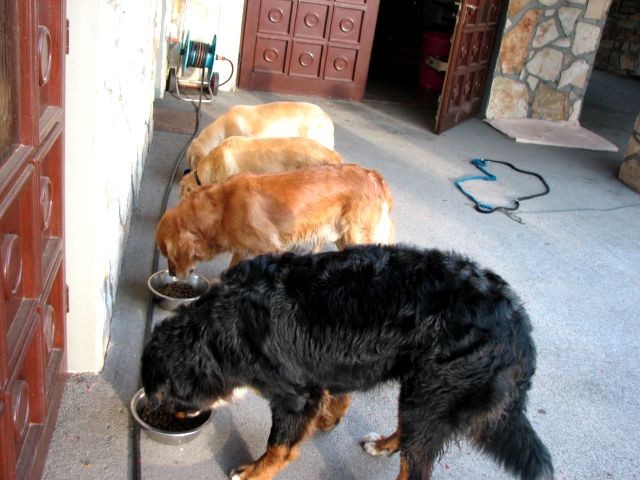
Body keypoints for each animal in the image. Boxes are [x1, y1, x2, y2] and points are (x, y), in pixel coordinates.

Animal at [142, 246, 552, 478]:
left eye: (165, 397)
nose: (170, 415)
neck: (221, 331)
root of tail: (518, 325)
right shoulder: (324, 369)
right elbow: (337, 395)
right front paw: (329, 418)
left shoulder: (294, 395)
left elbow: (278, 448)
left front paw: (253, 472)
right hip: (420, 391)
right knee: (408, 431)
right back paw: (384, 445)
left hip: (436, 393)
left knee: (416, 467)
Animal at [156, 164, 396, 278]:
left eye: (168, 255)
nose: (172, 273)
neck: (222, 207)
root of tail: (376, 177)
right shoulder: (242, 249)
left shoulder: (271, 248)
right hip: (343, 237)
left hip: (357, 236)